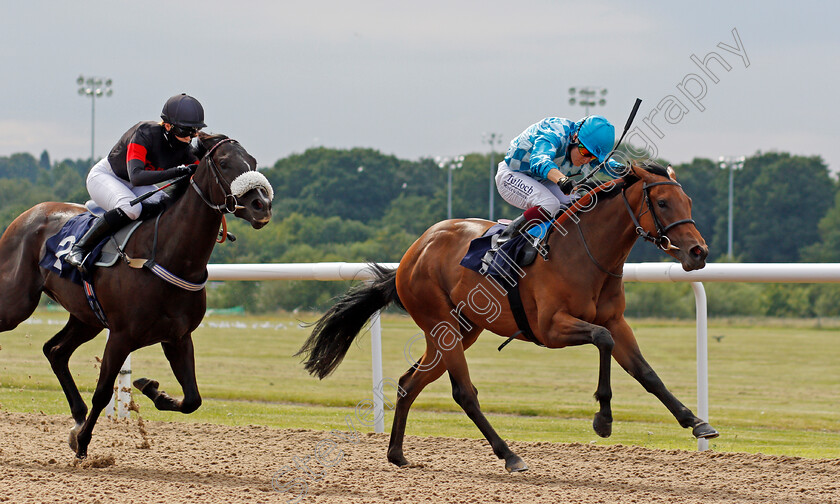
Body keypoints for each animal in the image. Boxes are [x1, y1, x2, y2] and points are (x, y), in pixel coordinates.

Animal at [0, 132, 272, 458]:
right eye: (224, 162)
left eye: (252, 162)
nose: (262, 205)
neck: (166, 254)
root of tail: (26, 215)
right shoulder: (121, 336)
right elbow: (103, 392)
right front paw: (83, 443)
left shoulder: (178, 337)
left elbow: (192, 399)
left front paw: (152, 388)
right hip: (16, 303)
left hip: (86, 318)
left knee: (55, 351)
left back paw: (77, 417)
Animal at [296, 161, 716, 472]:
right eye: (662, 203)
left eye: (689, 200)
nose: (698, 252)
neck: (585, 254)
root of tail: (412, 253)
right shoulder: (551, 328)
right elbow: (602, 340)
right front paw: (603, 419)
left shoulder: (617, 321)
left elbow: (645, 371)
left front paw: (696, 422)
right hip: (441, 324)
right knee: (464, 393)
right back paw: (510, 455)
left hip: (461, 330)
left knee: (408, 383)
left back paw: (397, 454)